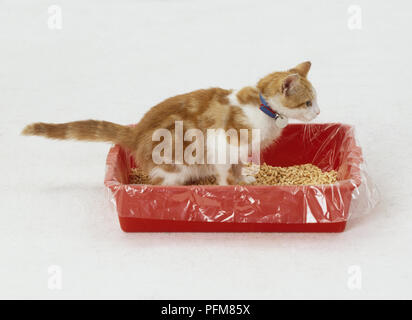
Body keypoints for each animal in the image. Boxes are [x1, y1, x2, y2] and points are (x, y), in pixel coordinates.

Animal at [22, 61, 318, 185]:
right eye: (307, 103)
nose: (317, 112)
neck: (262, 108)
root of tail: (137, 132)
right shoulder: (222, 144)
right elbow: (225, 172)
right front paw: (230, 188)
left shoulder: (239, 151)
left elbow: (237, 166)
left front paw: (244, 179)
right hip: (174, 164)